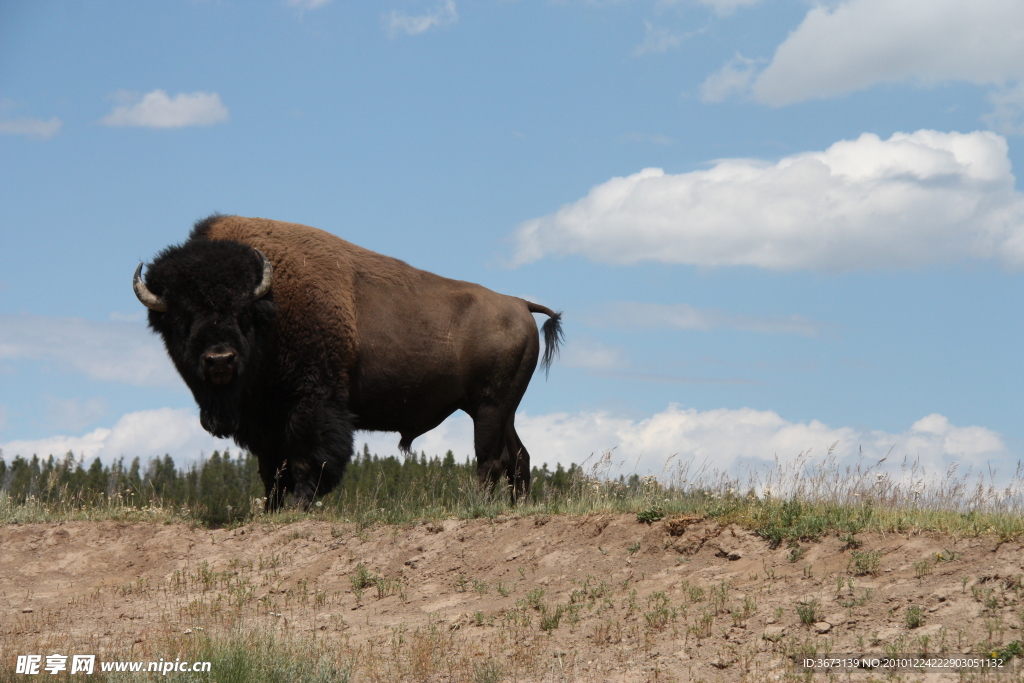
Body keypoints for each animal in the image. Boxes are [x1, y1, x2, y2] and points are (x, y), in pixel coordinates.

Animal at [132, 216, 565, 509]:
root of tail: (520, 304)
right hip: (499, 409)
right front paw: (272, 508)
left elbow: (305, 457)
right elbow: (271, 467)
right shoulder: (262, 420)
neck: (272, 304)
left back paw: (479, 505)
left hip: (489, 407)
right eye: (182, 318)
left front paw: (299, 505)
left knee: (490, 458)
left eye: (242, 314)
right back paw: (519, 506)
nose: (219, 360)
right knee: (518, 456)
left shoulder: (312, 403)